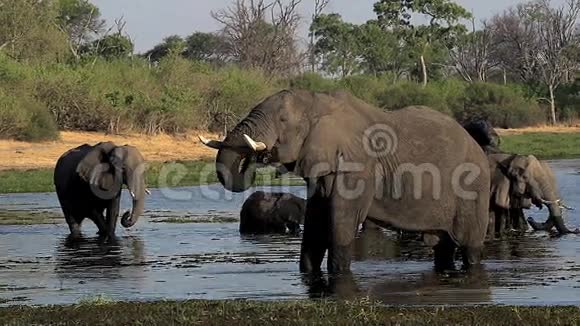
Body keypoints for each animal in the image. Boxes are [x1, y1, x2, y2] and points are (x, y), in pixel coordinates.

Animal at [199, 90, 490, 276]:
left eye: (282, 120)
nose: (261, 154)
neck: (319, 103)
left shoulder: (358, 164)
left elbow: (341, 222)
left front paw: (338, 276)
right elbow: (315, 225)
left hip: (472, 188)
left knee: (470, 247)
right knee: (443, 247)